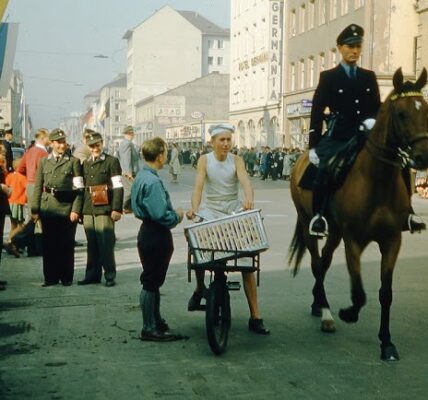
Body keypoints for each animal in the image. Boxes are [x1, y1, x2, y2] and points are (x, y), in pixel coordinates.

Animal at [288, 67, 428, 360]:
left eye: (426, 111)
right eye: (401, 113)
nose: (423, 157)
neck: (377, 180)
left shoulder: (392, 241)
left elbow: (385, 293)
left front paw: (386, 342)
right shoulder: (353, 240)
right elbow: (360, 293)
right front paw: (348, 313)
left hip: (335, 231)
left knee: (325, 262)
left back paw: (319, 304)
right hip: (309, 223)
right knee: (317, 263)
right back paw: (326, 313)